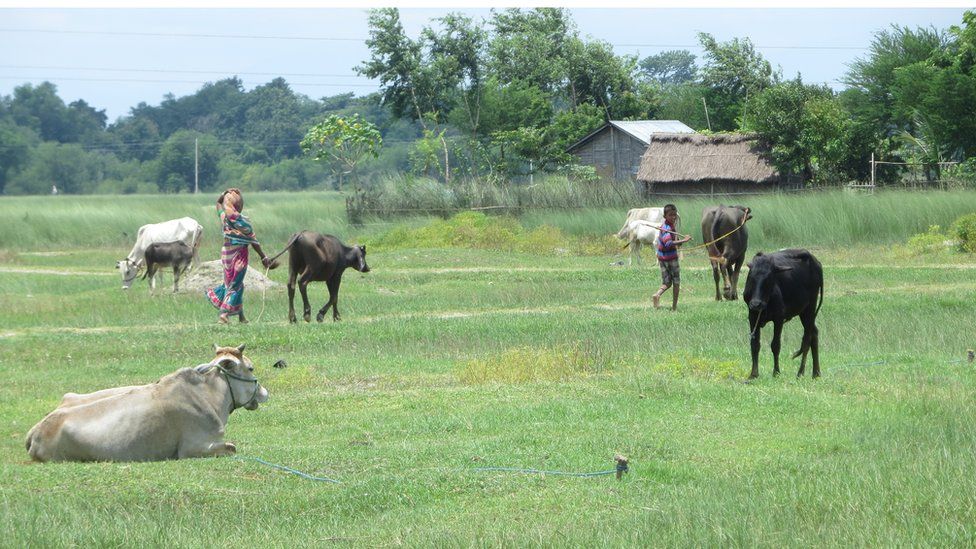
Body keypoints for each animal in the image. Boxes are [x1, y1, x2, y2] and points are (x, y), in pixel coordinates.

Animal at [26, 344, 270, 460]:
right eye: (250, 368)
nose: (264, 392)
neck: (208, 395)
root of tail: (38, 429)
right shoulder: (195, 447)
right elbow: (231, 447)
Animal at [748, 250, 824, 378]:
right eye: (751, 277)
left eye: (769, 278)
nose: (756, 304)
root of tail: (816, 262)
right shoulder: (752, 317)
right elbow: (755, 344)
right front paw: (753, 374)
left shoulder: (779, 318)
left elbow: (775, 345)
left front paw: (776, 372)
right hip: (804, 313)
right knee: (814, 334)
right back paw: (816, 373)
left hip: (810, 309)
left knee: (807, 339)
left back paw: (800, 372)